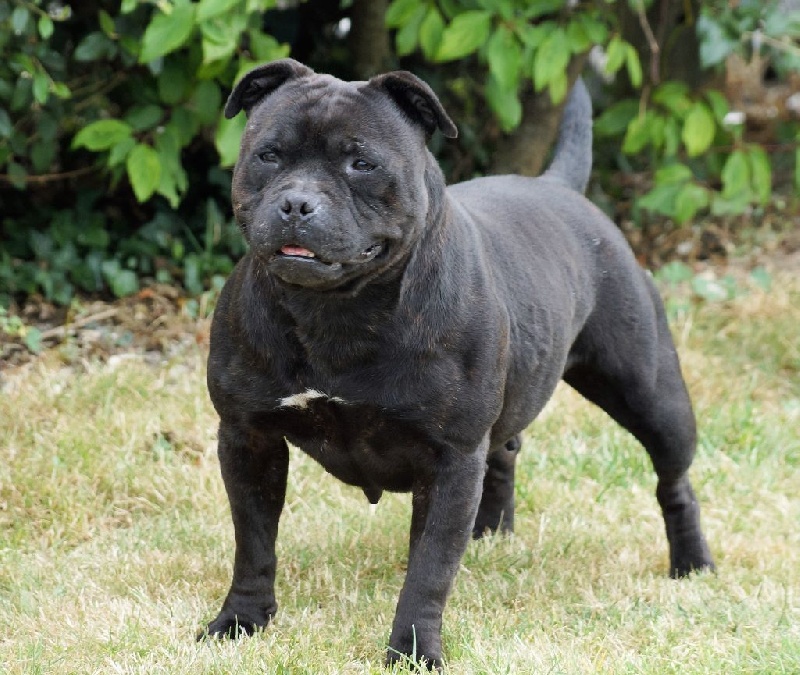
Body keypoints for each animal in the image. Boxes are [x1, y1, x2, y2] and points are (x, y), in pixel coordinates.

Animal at [201, 59, 715, 669]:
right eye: (270, 155)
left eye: (361, 163)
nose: (297, 204)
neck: (336, 312)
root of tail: (556, 186)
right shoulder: (247, 438)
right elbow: (253, 543)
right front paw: (241, 621)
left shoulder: (450, 459)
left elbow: (428, 570)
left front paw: (413, 650)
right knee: (506, 449)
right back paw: (490, 533)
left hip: (650, 394)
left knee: (674, 479)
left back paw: (693, 565)